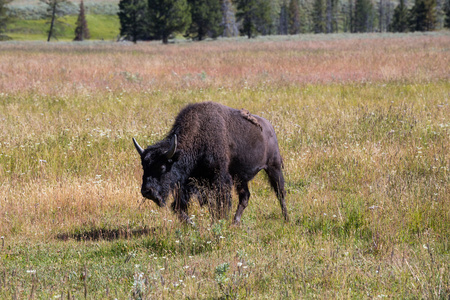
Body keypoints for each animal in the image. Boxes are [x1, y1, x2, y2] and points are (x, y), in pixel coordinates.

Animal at [133, 102, 288, 224]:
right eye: (144, 166)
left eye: (162, 167)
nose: (147, 191)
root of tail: (269, 127)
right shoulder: (189, 183)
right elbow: (179, 207)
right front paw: (192, 224)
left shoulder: (220, 178)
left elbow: (221, 204)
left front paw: (218, 222)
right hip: (240, 177)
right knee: (245, 197)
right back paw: (235, 222)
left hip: (273, 167)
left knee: (280, 192)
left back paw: (286, 218)